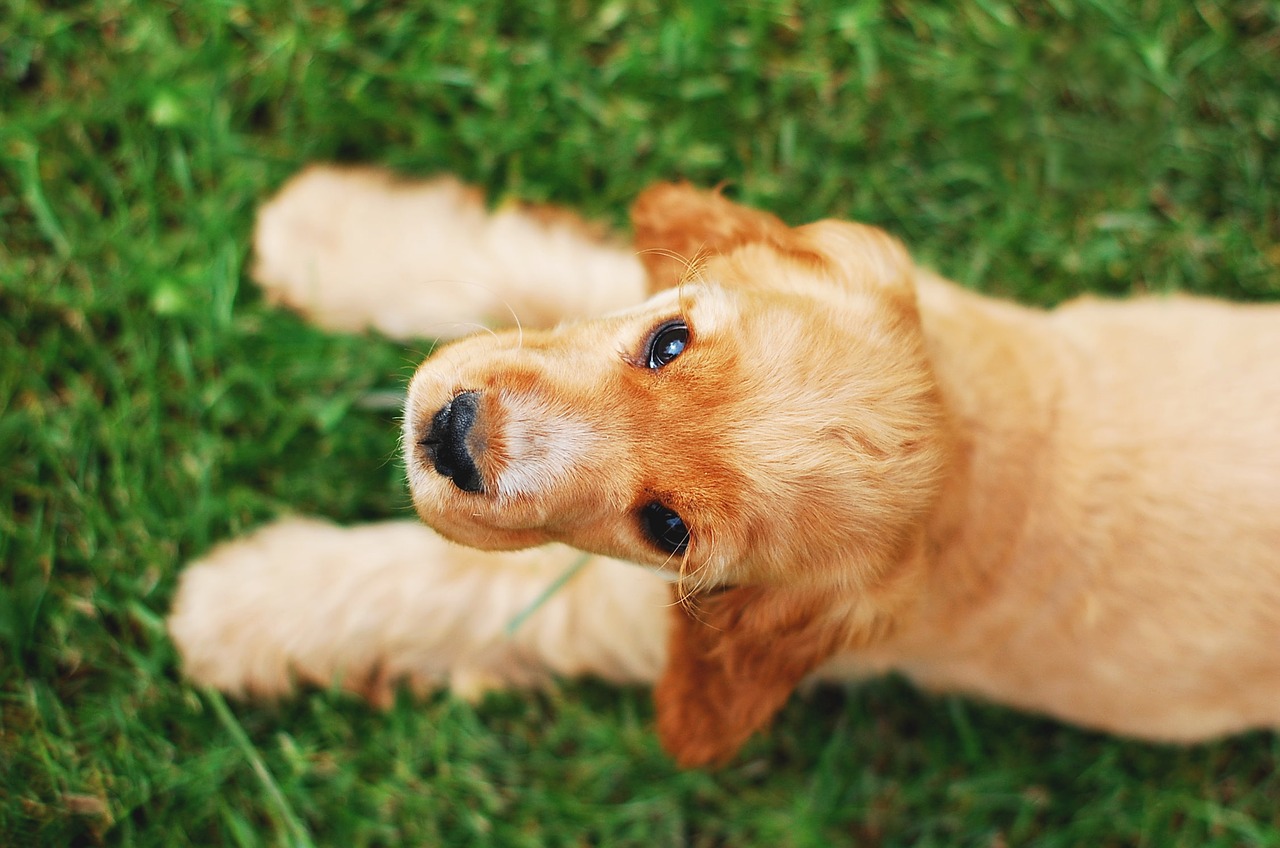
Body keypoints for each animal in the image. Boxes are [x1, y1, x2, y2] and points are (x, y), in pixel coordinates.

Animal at [170, 167, 1280, 768]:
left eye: (668, 527)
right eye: (667, 343)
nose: (450, 435)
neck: (974, 456)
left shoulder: (638, 610)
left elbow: (453, 583)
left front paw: (238, 608)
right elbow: (530, 268)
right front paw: (325, 233)